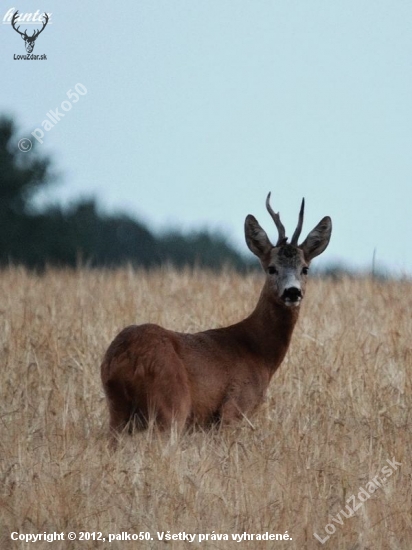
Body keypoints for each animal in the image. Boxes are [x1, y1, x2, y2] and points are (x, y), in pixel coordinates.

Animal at [101, 195, 334, 444]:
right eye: (272, 268)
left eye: (305, 269)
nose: (292, 292)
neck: (259, 353)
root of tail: (126, 355)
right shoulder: (235, 407)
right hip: (171, 401)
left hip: (117, 408)